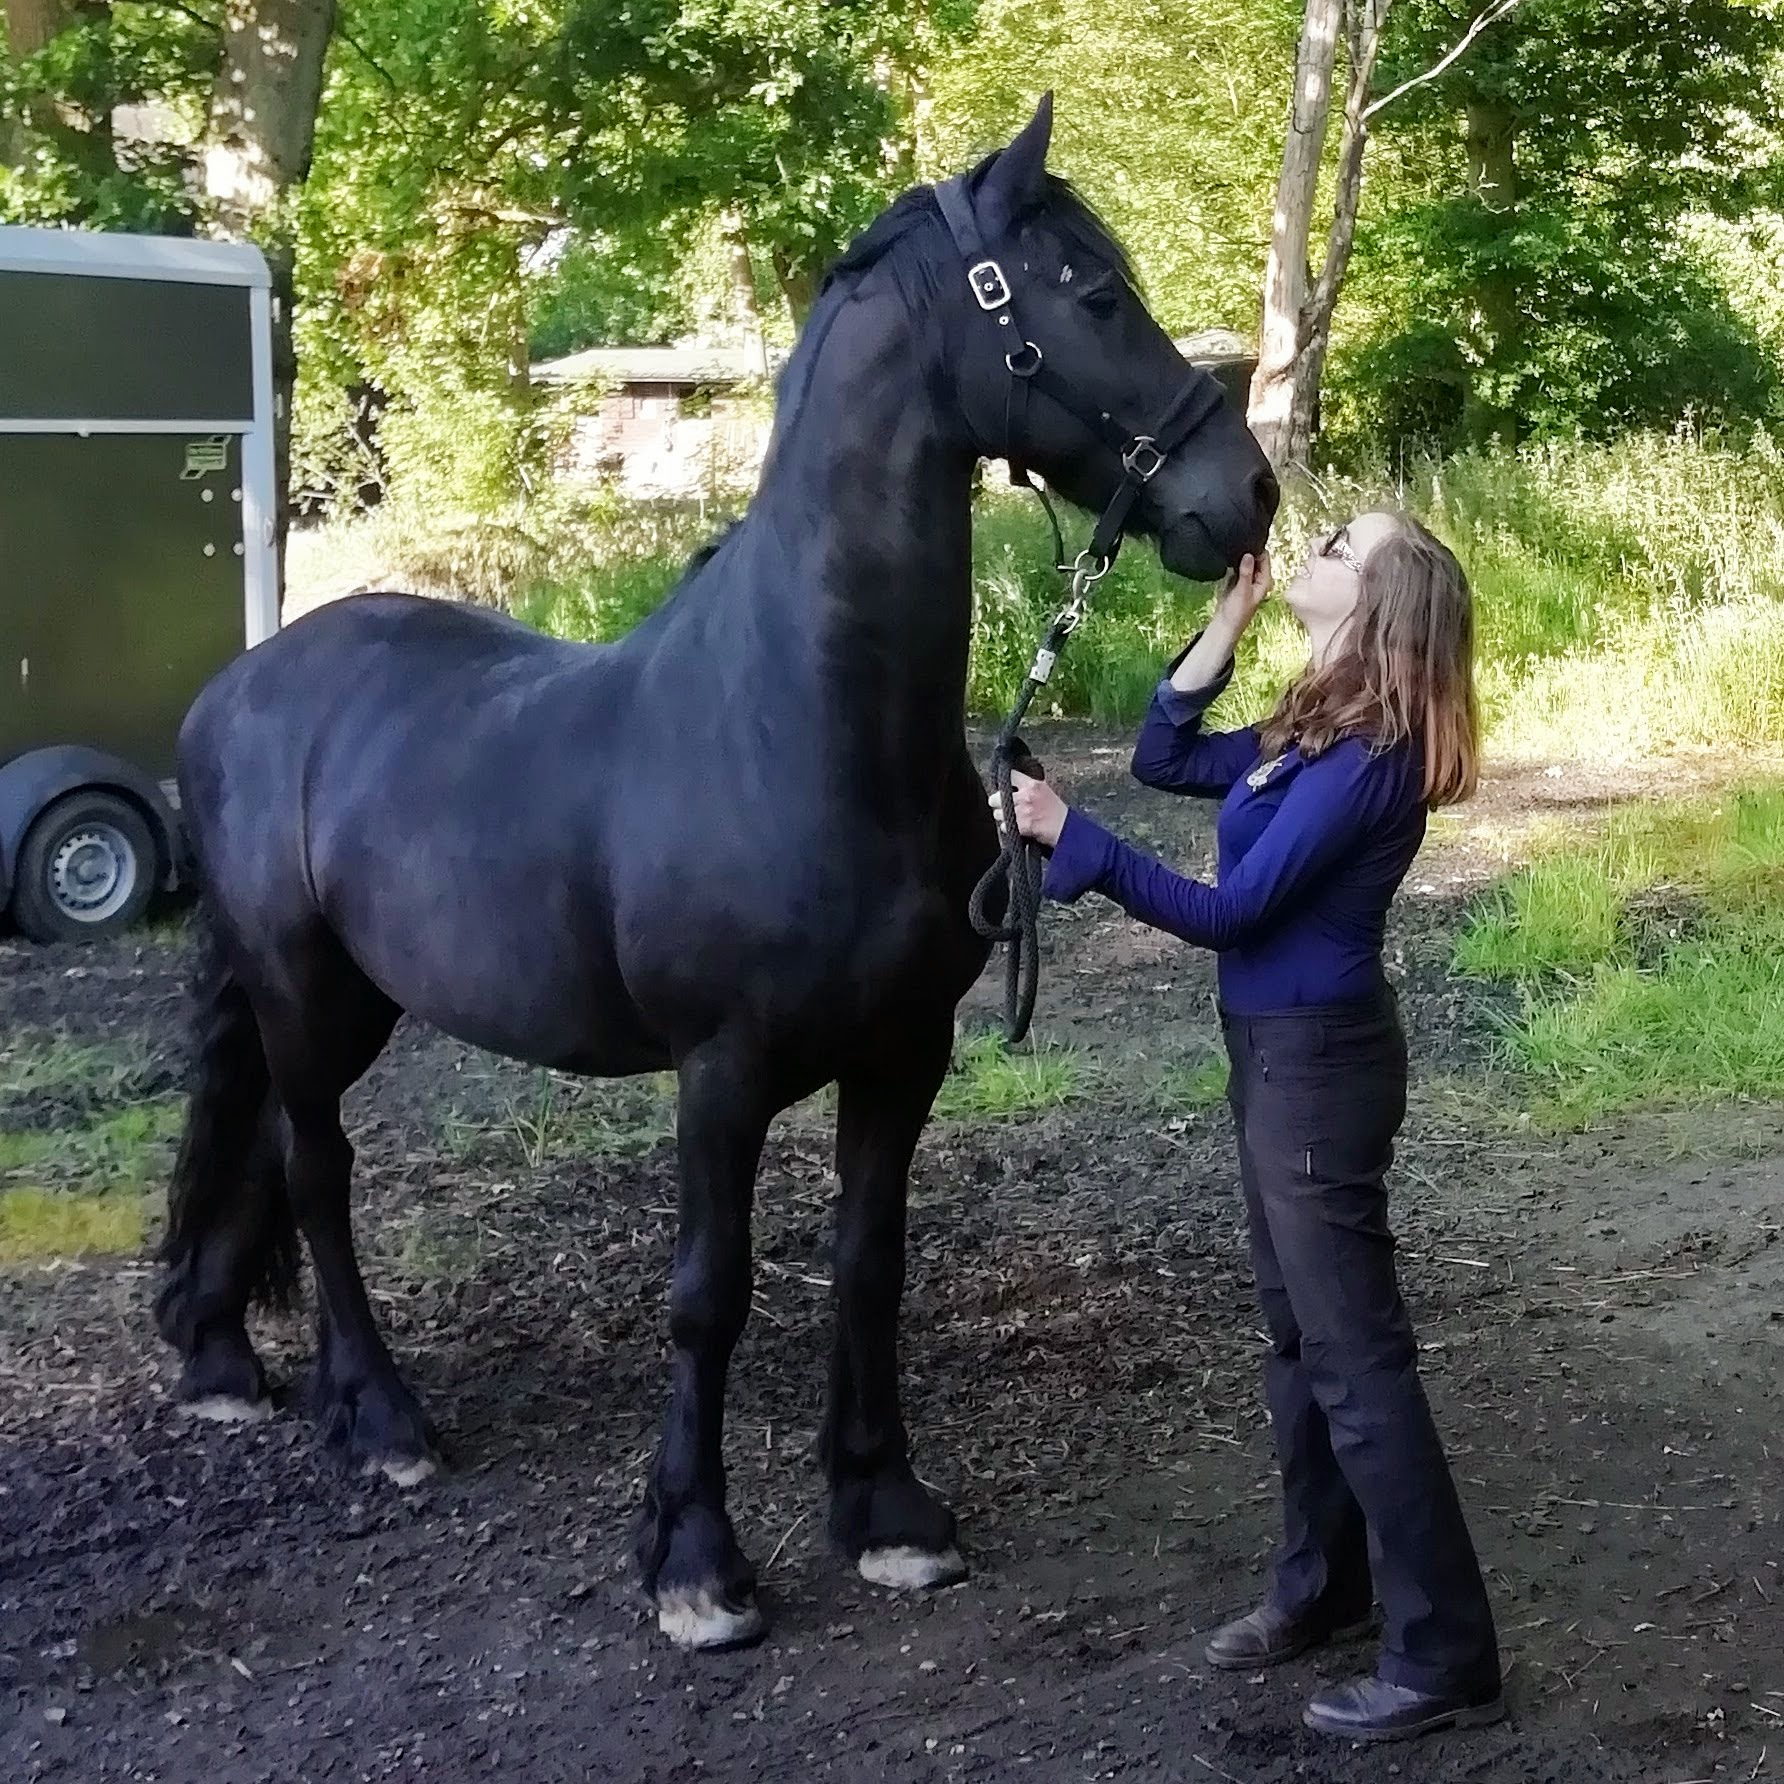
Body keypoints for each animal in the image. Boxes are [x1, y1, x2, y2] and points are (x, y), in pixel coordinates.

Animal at [154, 95, 1279, 1650]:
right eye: (1094, 293)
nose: (1247, 493)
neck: (801, 718)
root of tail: (235, 691)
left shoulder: (903, 1054)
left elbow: (869, 1262)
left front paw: (886, 1509)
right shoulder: (721, 1071)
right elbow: (710, 1293)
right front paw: (694, 1559)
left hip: (346, 1002)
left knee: (265, 1150)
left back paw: (233, 1363)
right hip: (303, 994)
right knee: (318, 1175)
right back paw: (381, 1421)